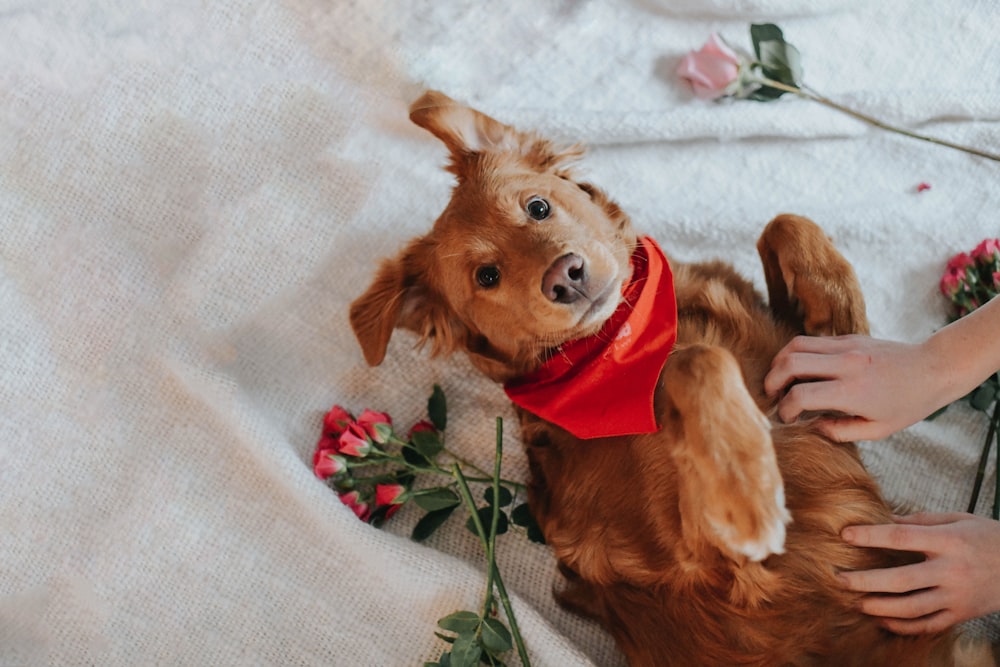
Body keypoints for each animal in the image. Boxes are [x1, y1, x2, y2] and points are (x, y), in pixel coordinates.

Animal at [348, 92, 988, 667]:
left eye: (537, 207)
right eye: (487, 276)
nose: (565, 275)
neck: (623, 341)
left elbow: (784, 223)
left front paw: (845, 323)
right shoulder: (717, 573)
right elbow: (698, 361)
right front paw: (746, 488)